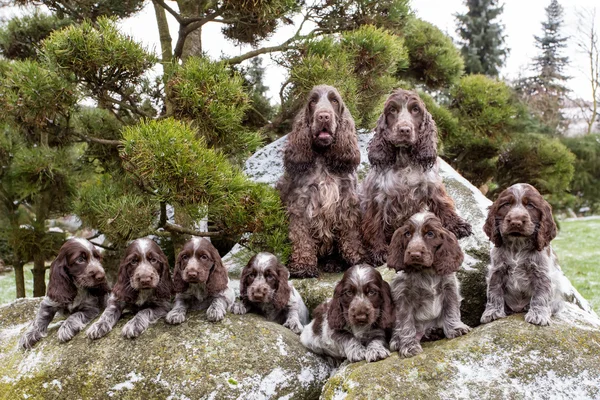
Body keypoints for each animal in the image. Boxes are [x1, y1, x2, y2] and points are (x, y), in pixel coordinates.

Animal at [278, 84, 366, 278]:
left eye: (334, 100)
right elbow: (301, 237)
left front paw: (357, 258)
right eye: (313, 101)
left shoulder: (347, 202)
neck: (324, 159)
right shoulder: (300, 205)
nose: (323, 116)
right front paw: (303, 265)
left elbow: (351, 235)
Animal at [358, 90, 472, 266]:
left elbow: (443, 205)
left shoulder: (431, 185)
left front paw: (458, 225)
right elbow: (374, 225)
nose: (404, 130)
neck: (405, 161)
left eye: (415, 109)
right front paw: (379, 251)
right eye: (392, 110)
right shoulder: (377, 198)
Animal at [386, 211, 472, 358]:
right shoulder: (403, 297)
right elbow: (406, 324)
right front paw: (409, 346)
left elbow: (451, 310)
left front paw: (456, 328)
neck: (425, 271)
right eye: (407, 234)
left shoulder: (449, 288)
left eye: (430, 234)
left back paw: (434, 331)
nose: (414, 254)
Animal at [480, 183, 564, 326]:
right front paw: (492, 313)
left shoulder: (541, 272)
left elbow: (540, 295)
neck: (517, 245)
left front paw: (538, 315)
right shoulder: (497, 270)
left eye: (530, 205)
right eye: (506, 204)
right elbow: (494, 291)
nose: (515, 222)